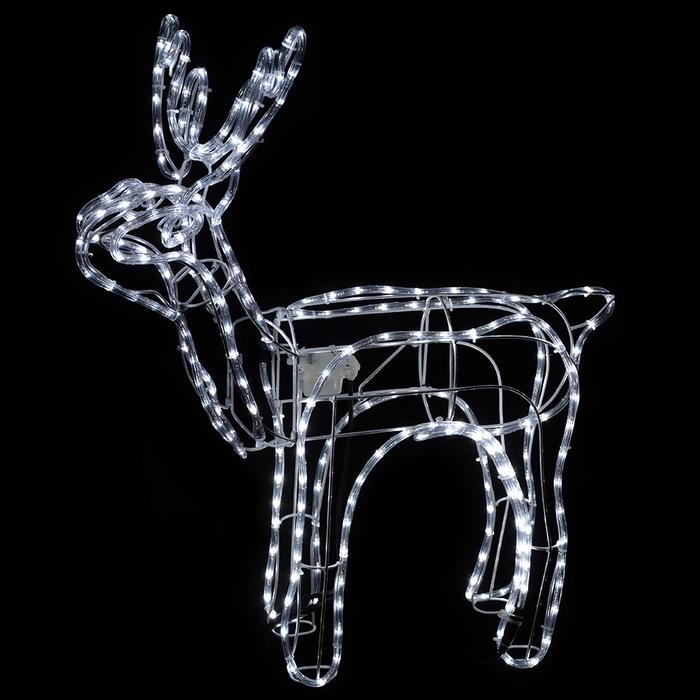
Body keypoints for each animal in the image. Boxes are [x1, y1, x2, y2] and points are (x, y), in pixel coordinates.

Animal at [76, 14, 614, 687]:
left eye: (166, 208)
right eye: (126, 184)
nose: (84, 229)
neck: (265, 349)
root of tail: (569, 313)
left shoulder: (331, 433)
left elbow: (323, 546)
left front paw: (311, 661)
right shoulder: (296, 446)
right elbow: (288, 527)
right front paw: (283, 623)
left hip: (543, 426)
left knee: (545, 521)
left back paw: (519, 644)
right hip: (494, 424)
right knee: (503, 495)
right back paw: (488, 596)